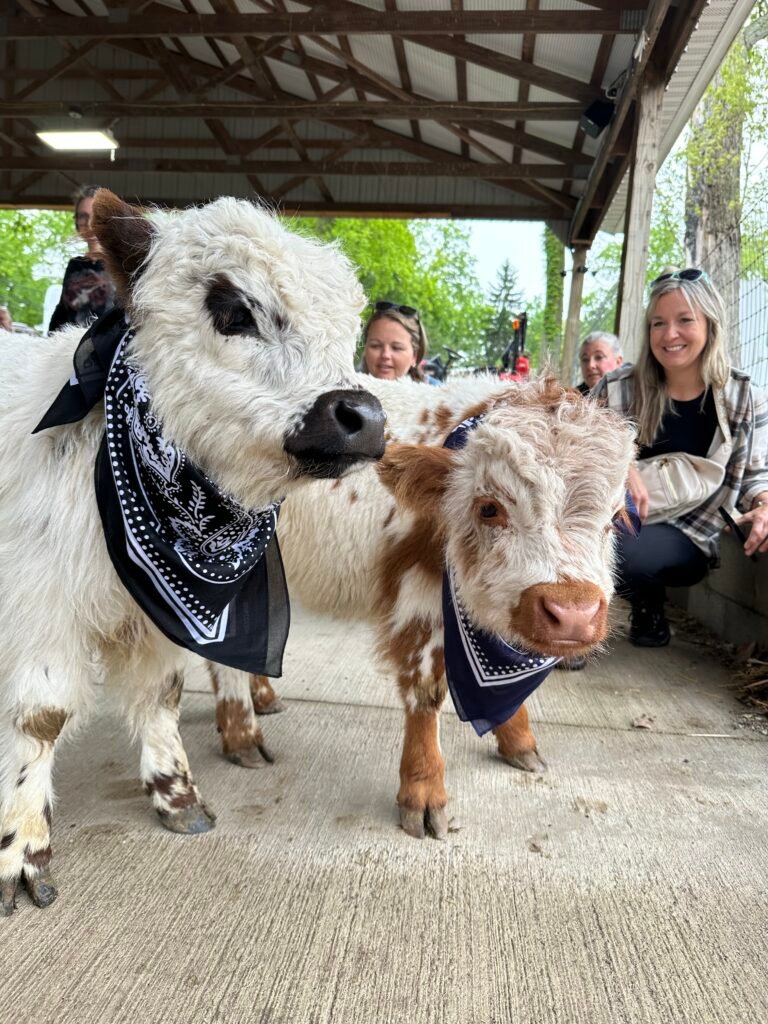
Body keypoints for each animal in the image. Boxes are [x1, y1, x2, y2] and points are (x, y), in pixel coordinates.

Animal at [0, 190, 385, 915]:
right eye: (233, 309)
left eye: (348, 323)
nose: (363, 417)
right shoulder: (41, 604)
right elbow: (41, 716)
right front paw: (20, 848)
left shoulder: (156, 617)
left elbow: (162, 693)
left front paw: (176, 794)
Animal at [208, 374, 637, 839]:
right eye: (488, 508)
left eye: (614, 518)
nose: (572, 612)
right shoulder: (419, 599)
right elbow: (425, 693)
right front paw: (424, 791)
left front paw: (518, 740)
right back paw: (242, 734)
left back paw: (261, 697)